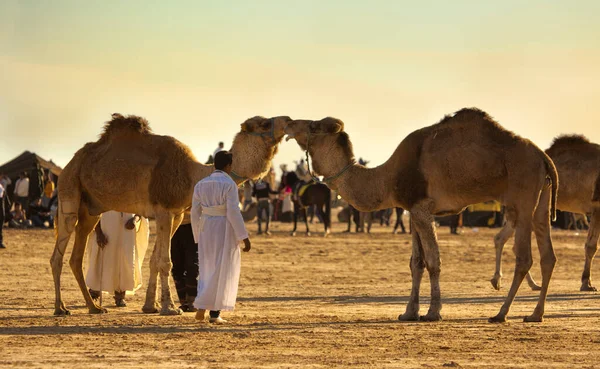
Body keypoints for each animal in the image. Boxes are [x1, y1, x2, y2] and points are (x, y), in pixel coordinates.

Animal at [51, 112, 290, 314]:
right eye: (264, 123)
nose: (288, 120)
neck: (193, 175)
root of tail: (70, 163)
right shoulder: (164, 210)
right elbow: (166, 262)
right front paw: (170, 307)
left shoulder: (175, 214)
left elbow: (155, 260)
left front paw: (151, 306)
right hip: (69, 193)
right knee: (58, 255)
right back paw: (60, 308)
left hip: (90, 211)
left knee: (76, 257)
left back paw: (94, 307)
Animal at [286, 108, 556, 320]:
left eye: (312, 125)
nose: (288, 122)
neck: (387, 178)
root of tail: (544, 157)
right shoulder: (413, 210)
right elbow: (416, 263)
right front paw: (409, 312)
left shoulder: (423, 209)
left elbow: (434, 261)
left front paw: (433, 312)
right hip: (541, 199)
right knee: (548, 256)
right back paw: (535, 314)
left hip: (521, 197)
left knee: (524, 257)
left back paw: (501, 313)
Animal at [492, 134, 600, 290]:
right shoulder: (597, 207)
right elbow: (591, 246)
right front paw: (586, 283)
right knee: (506, 240)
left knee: (502, 239)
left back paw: (520, 283)